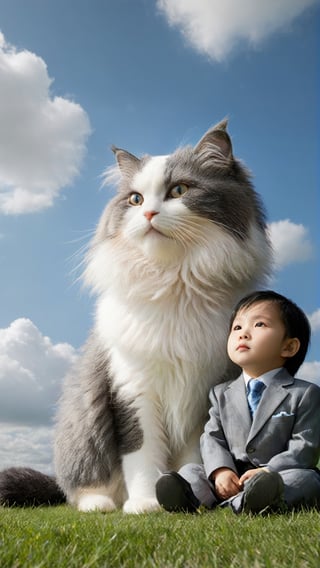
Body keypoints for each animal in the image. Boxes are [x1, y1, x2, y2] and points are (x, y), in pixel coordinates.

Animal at [0, 122, 272, 512]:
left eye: (179, 191)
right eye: (135, 200)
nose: (148, 215)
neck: (175, 282)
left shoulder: (202, 397)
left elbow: (195, 459)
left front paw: (188, 496)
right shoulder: (133, 389)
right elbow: (142, 457)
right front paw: (146, 503)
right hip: (82, 431)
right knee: (79, 490)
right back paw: (101, 504)